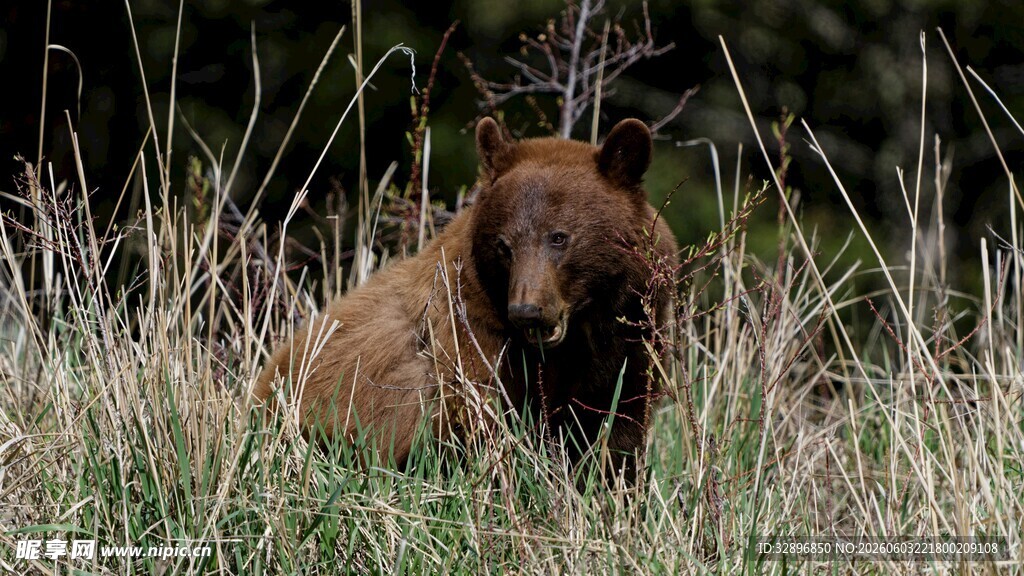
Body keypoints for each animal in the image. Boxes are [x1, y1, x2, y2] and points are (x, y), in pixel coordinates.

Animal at [253, 117, 678, 483]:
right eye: (504, 245)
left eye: (559, 237)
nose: (526, 312)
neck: (576, 341)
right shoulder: (470, 342)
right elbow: (482, 431)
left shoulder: (632, 346)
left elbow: (619, 434)